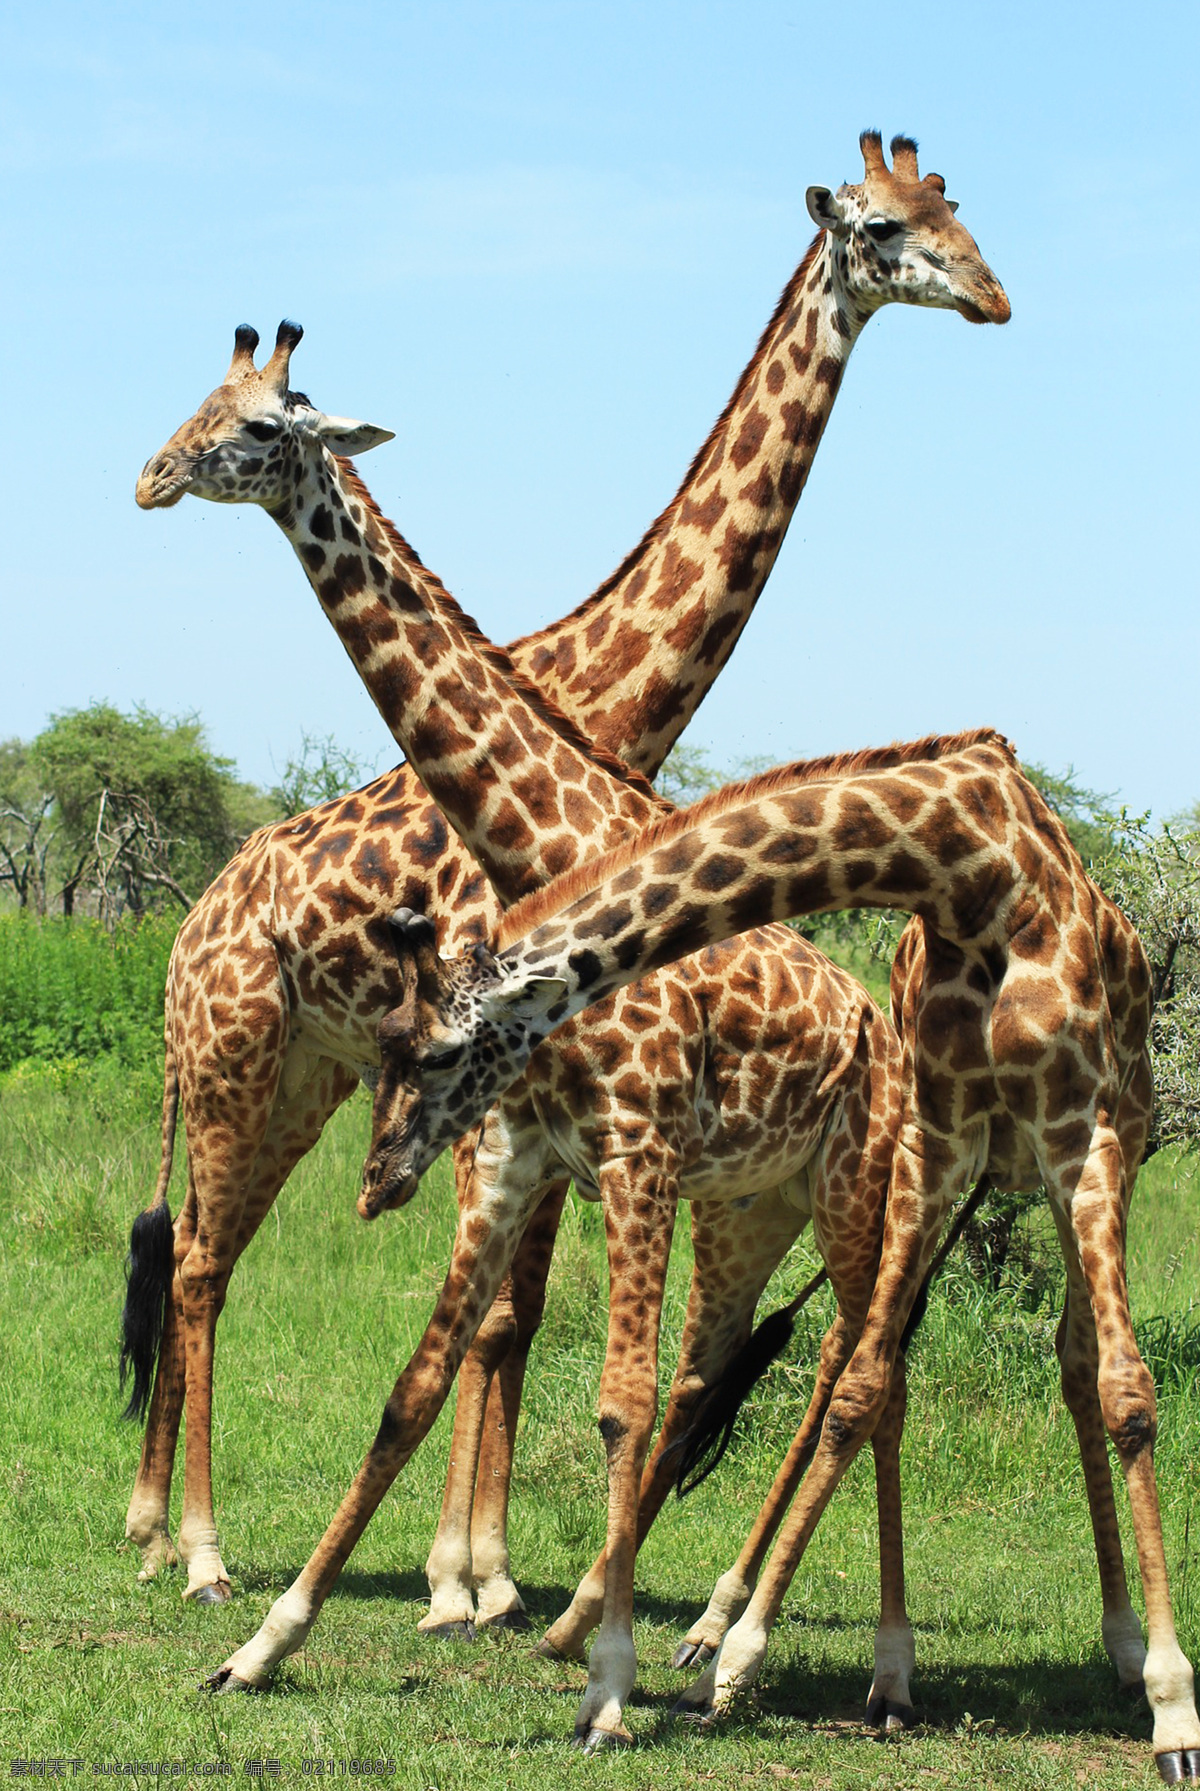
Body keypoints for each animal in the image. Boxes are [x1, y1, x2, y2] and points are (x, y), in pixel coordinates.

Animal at [123, 128, 1009, 1628]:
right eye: (886, 226)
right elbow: (495, 1321)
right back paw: (187, 1544)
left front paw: (476, 1576)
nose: (149, 475)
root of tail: (191, 925)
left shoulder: (522, 1106)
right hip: (239, 1060)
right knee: (194, 1263)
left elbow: (512, 1320)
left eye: (952, 216)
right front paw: (461, 1581)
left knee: (202, 1251)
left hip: (299, 1077)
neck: (604, 703)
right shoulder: (493, 1097)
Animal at [219, 729, 1197, 1783]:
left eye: (437, 1052)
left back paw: (1116, 1652)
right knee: (904, 1370)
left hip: (1071, 1155)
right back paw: (827, 1661)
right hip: (888, 1189)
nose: (378, 1179)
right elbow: (417, 1386)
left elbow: (1131, 1395)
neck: (968, 870)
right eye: (386, 1043)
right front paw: (264, 1644)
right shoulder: (937, 1139)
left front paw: (1174, 1710)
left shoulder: (1079, 1129)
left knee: (1072, 1366)